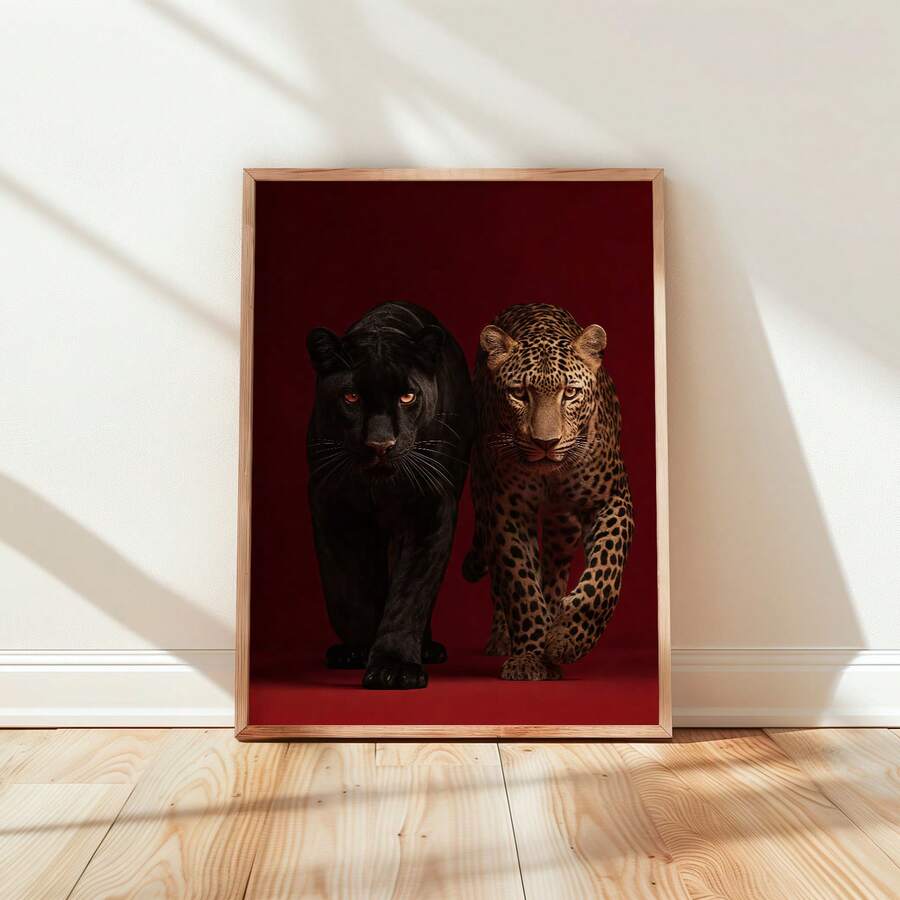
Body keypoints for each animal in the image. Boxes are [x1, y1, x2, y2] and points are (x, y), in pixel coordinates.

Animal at [463, 303, 635, 681]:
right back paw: (503, 637)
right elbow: (520, 586)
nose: (546, 443)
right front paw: (530, 655)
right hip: (482, 497)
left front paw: (568, 639)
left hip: (564, 525)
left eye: (569, 393)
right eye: (519, 394)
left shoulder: (611, 499)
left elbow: (605, 576)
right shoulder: (506, 511)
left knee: (554, 570)